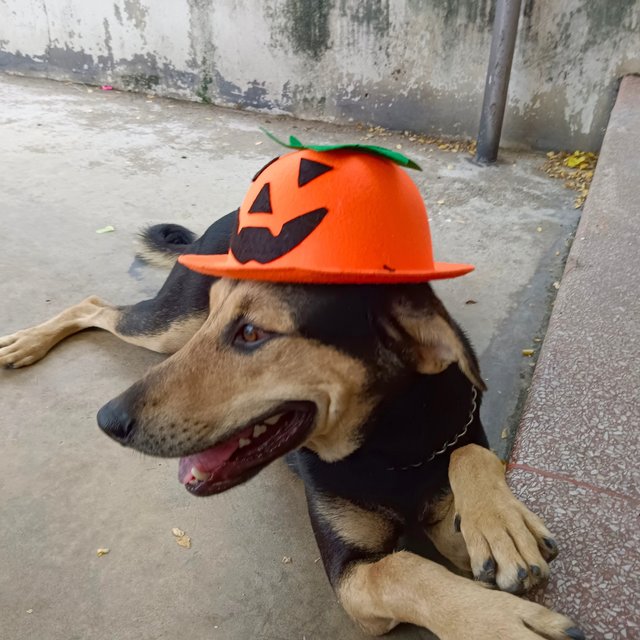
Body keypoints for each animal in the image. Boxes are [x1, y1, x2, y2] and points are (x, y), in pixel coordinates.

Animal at [0, 188, 580, 636]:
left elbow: (469, 454)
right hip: (173, 325)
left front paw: (504, 523)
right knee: (95, 305)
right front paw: (501, 622)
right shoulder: (354, 575)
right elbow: (409, 571)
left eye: (252, 333)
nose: (108, 421)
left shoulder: (449, 505)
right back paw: (25, 345)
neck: (388, 445)